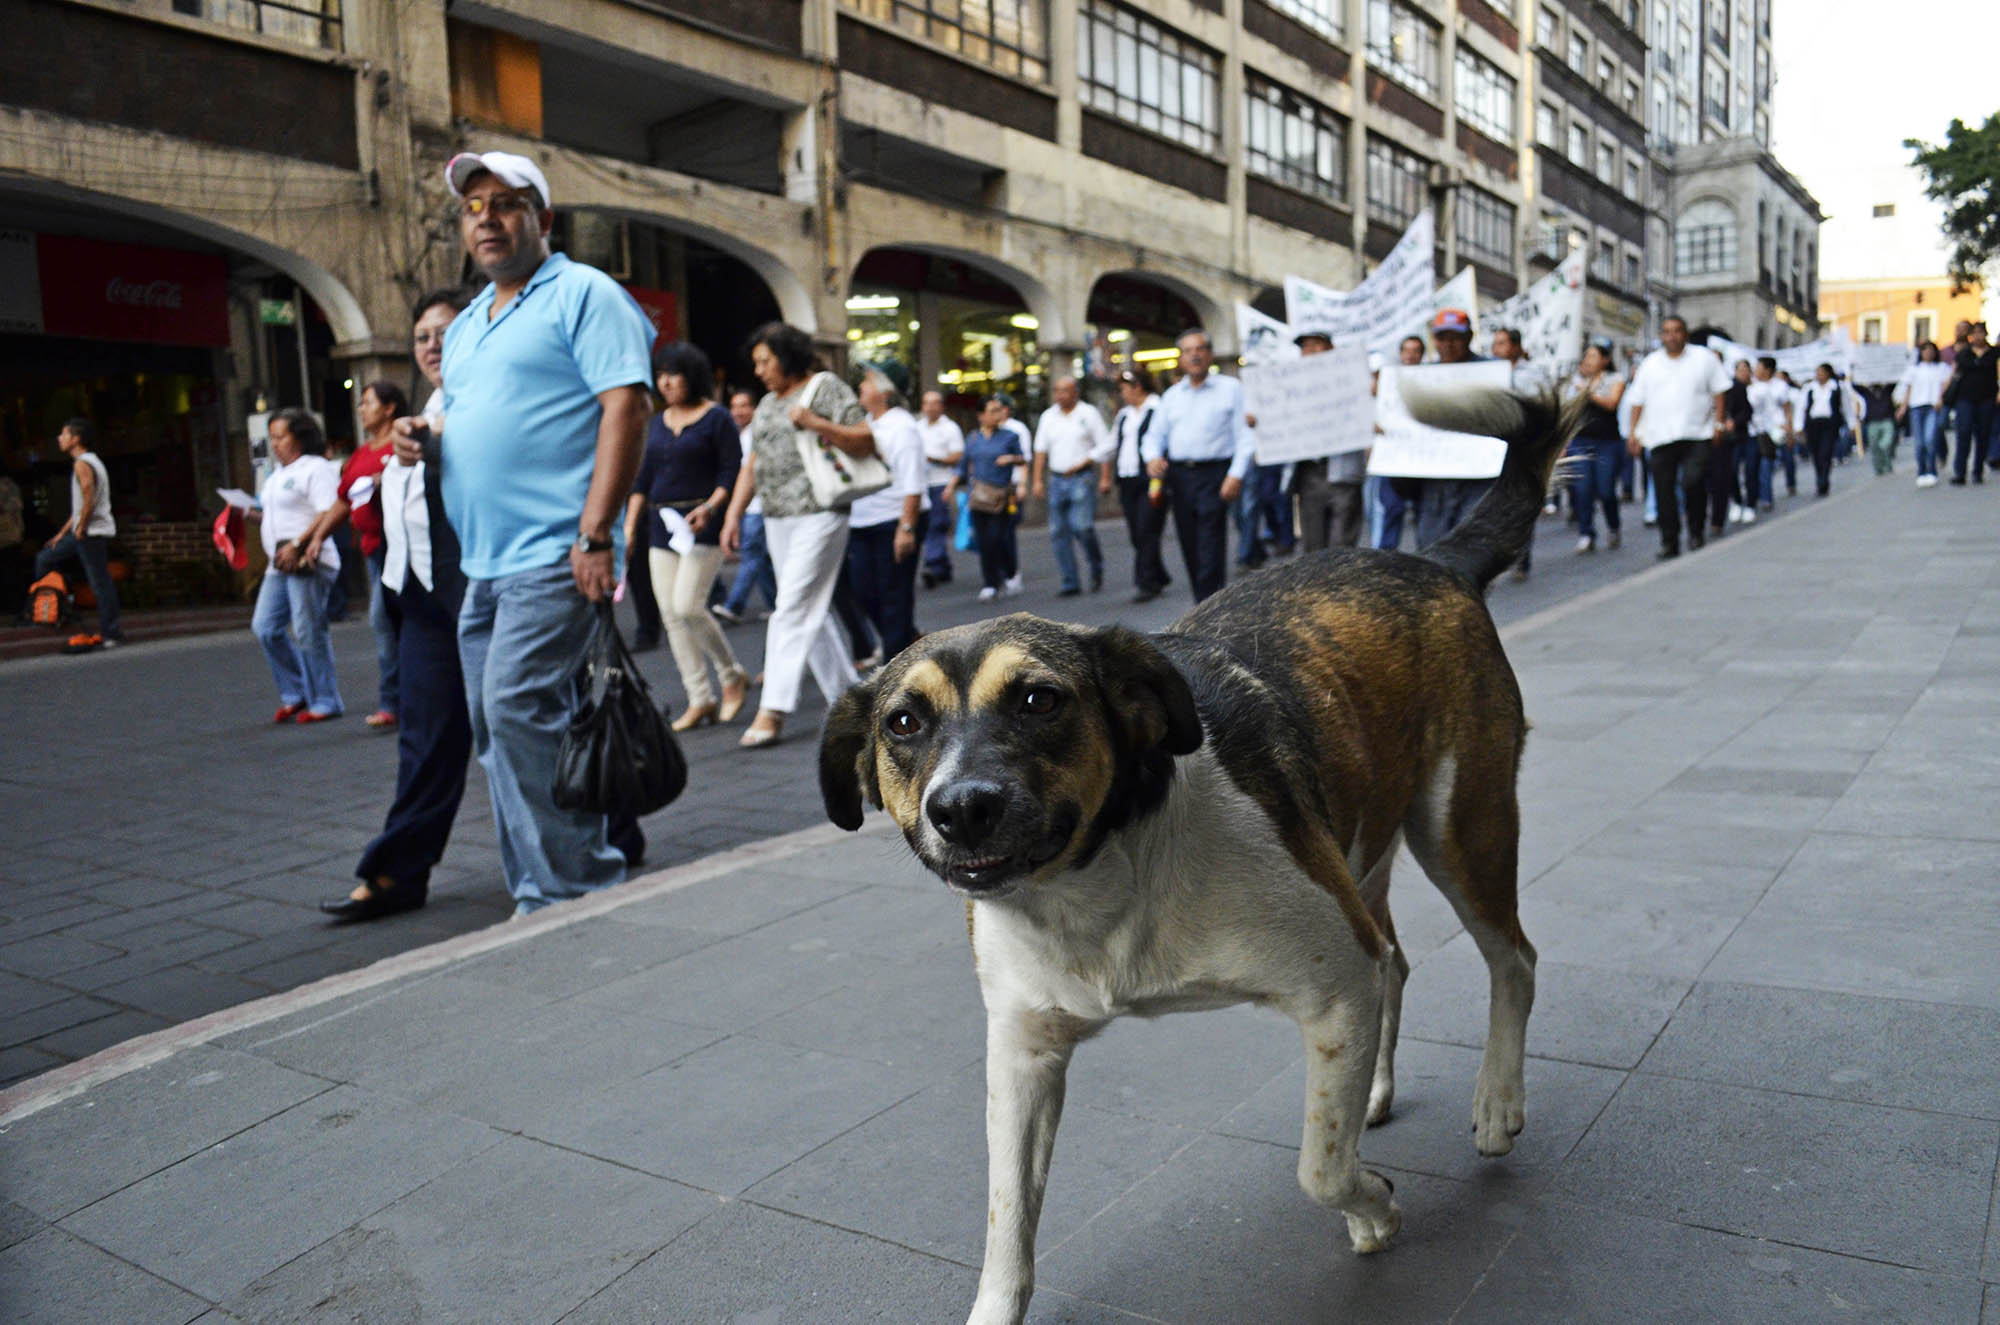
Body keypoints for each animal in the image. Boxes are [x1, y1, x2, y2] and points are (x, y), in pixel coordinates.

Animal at [820, 378, 1584, 1320]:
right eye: (903, 723)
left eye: (1039, 699)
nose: (962, 806)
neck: (1100, 882)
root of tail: (1435, 560)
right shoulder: (1024, 1050)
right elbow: (1006, 1229)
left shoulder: (1333, 985)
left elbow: (1319, 1167)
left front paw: (1373, 1208)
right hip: (1362, 842)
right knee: (1396, 959)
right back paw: (1376, 1088)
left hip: (1460, 827)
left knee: (1512, 958)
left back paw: (1498, 1100)